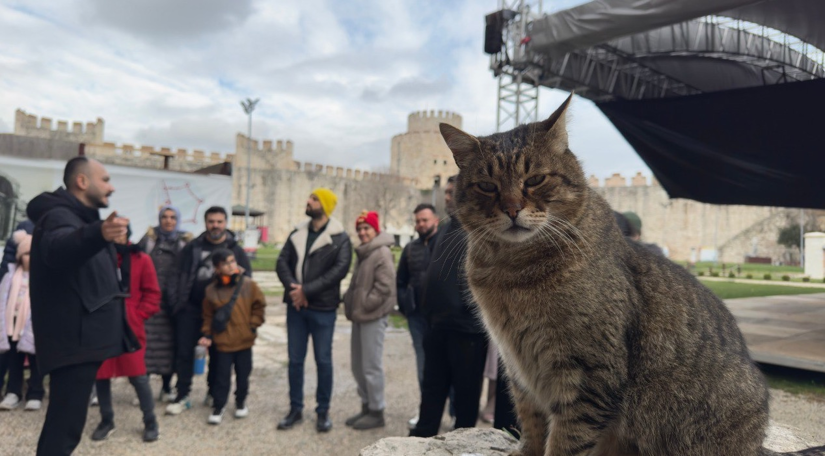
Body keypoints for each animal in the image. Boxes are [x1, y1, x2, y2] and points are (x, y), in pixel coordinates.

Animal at [438, 94, 824, 454]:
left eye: (534, 179)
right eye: (487, 186)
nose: (512, 209)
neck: (511, 271)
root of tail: (757, 445)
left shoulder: (588, 373)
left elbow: (565, 441)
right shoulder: (519, 371)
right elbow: (532, 427)